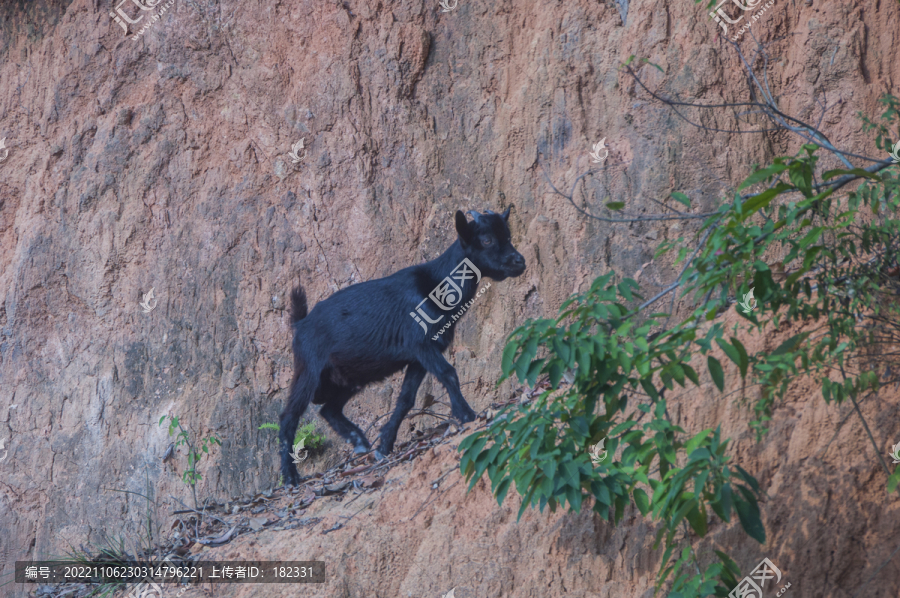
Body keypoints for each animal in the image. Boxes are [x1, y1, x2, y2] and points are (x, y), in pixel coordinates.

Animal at [278, 206, 524, 488]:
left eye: (508, 235)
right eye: (486, 240)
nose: (520, 262)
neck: (436, 286)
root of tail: (300, 324)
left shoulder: (418, 358)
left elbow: (406, 399)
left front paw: (384, 445)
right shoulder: (421, 344)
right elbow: (449, 373)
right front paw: (467, 414)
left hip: (349, 377)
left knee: (329, 409)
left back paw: (360, 441)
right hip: (309, 370)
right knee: (288, 417)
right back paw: (290, 476)